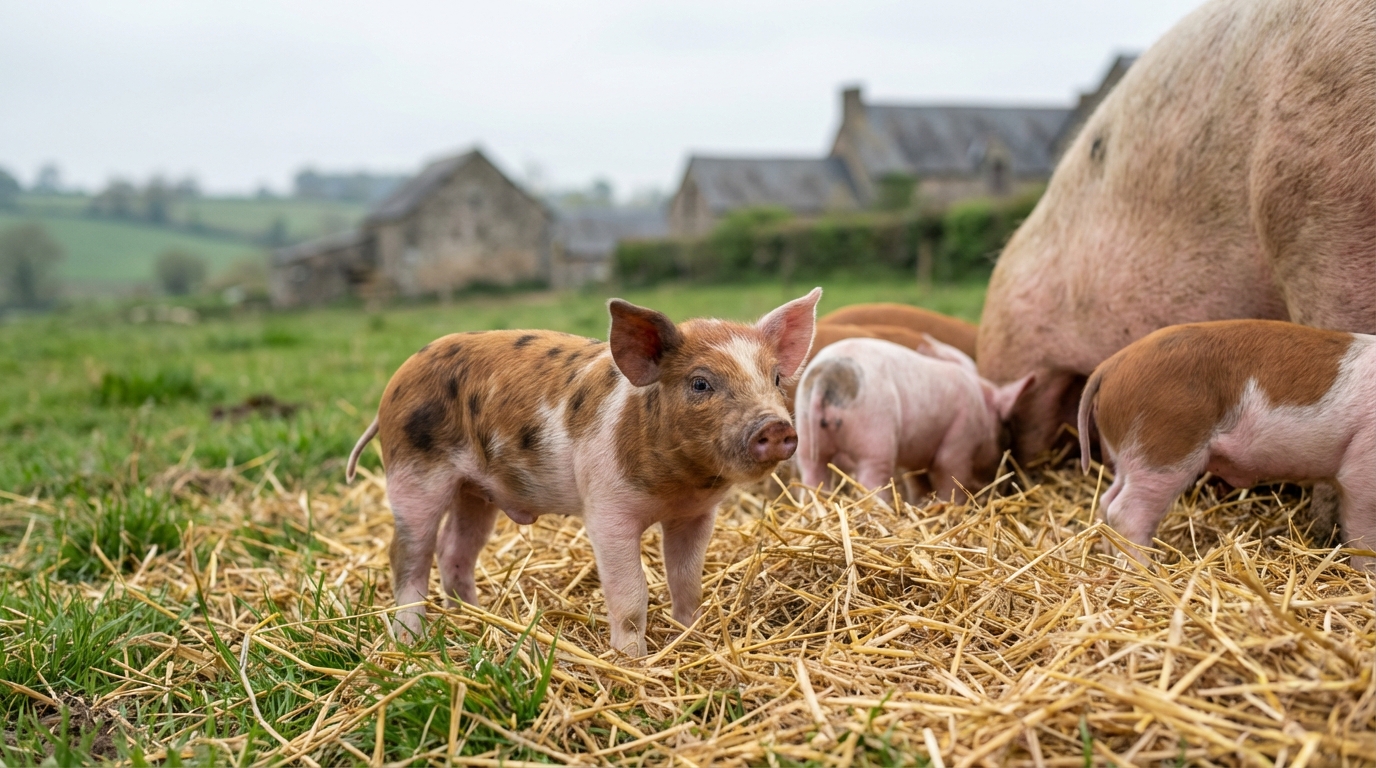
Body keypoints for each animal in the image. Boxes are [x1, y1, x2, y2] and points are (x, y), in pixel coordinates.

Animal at [346, 289, 822, 655]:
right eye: (700, 383)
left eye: (775, 378)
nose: (775, 427)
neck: (677, 486)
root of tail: (396, 383)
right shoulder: (606, 510)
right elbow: (630, 593)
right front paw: (633, 660)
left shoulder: (697, 514)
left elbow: (687, 580)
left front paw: (689, 635)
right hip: (413, 473)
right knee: (407, 555)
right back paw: (411, 639)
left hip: (475, 490)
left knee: (454, 550)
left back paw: (477, 617)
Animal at [795, 337, 1031, 502]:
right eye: (1005, 425)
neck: (981, 404)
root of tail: (825, 378)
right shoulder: (959, 443)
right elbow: (950, 479)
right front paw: (950, 506)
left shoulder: (913, 457)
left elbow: (916, 482)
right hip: (874, 438)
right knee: (872, 484)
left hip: (805, 437)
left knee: (813, 480)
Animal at [1078, 320, 1376, 568]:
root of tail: (1110, 366)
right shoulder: (1364, 464)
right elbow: (1364, 528)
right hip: (1163, 448)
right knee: (1126, 511)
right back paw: (1147, 569)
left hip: (1130, 456)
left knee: (1107, 500)